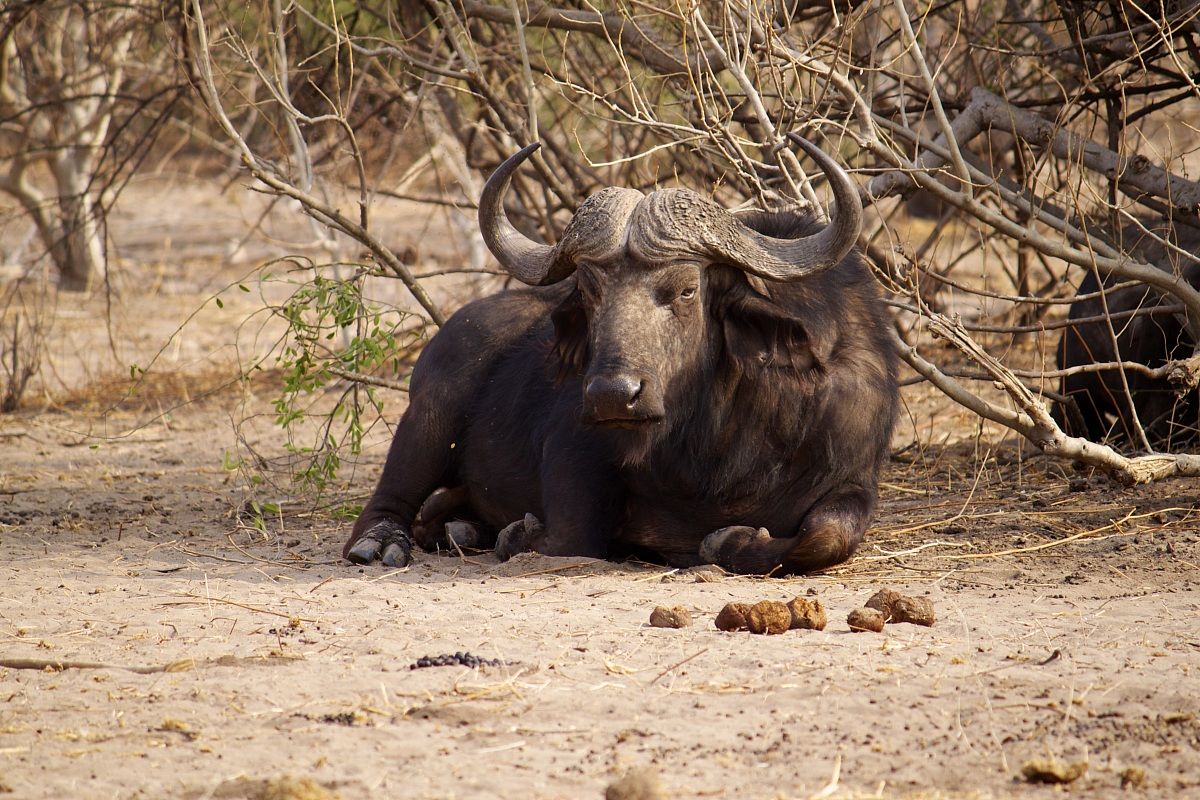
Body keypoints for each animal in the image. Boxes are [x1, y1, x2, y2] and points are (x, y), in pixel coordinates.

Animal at [344, 136, 898, 575]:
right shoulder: (575, 449)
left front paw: (733, 540)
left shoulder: (854, 475)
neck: (717, 442)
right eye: (590, 291)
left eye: (685, 290)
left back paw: (459, 528)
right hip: (429, 415)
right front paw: (517, 534)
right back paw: (381, 543)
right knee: (393, 493)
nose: (614, 395)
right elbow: (575, 535)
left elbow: (827, 536)